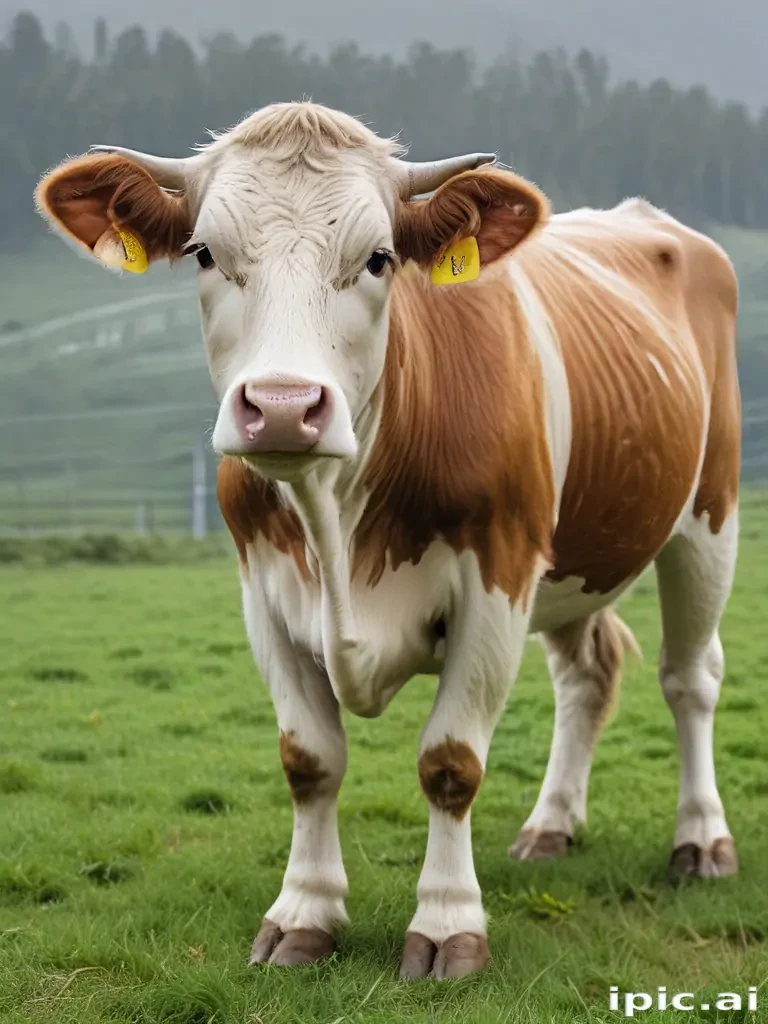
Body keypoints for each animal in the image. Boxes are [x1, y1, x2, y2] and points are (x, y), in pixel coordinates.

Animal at [36, 101, 741, 980]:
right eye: (204, 252)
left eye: (379, 259)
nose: (281, 406)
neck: (336, 519)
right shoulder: (261, 593)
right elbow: (309, 759)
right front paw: (303, 914)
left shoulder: (498, 578)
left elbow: (450, 762)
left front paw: (446, 925)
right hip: (582, 548)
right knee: (587, 676)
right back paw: (551, 825)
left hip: (709, 517)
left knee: (690, 679)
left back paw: (702, 840)